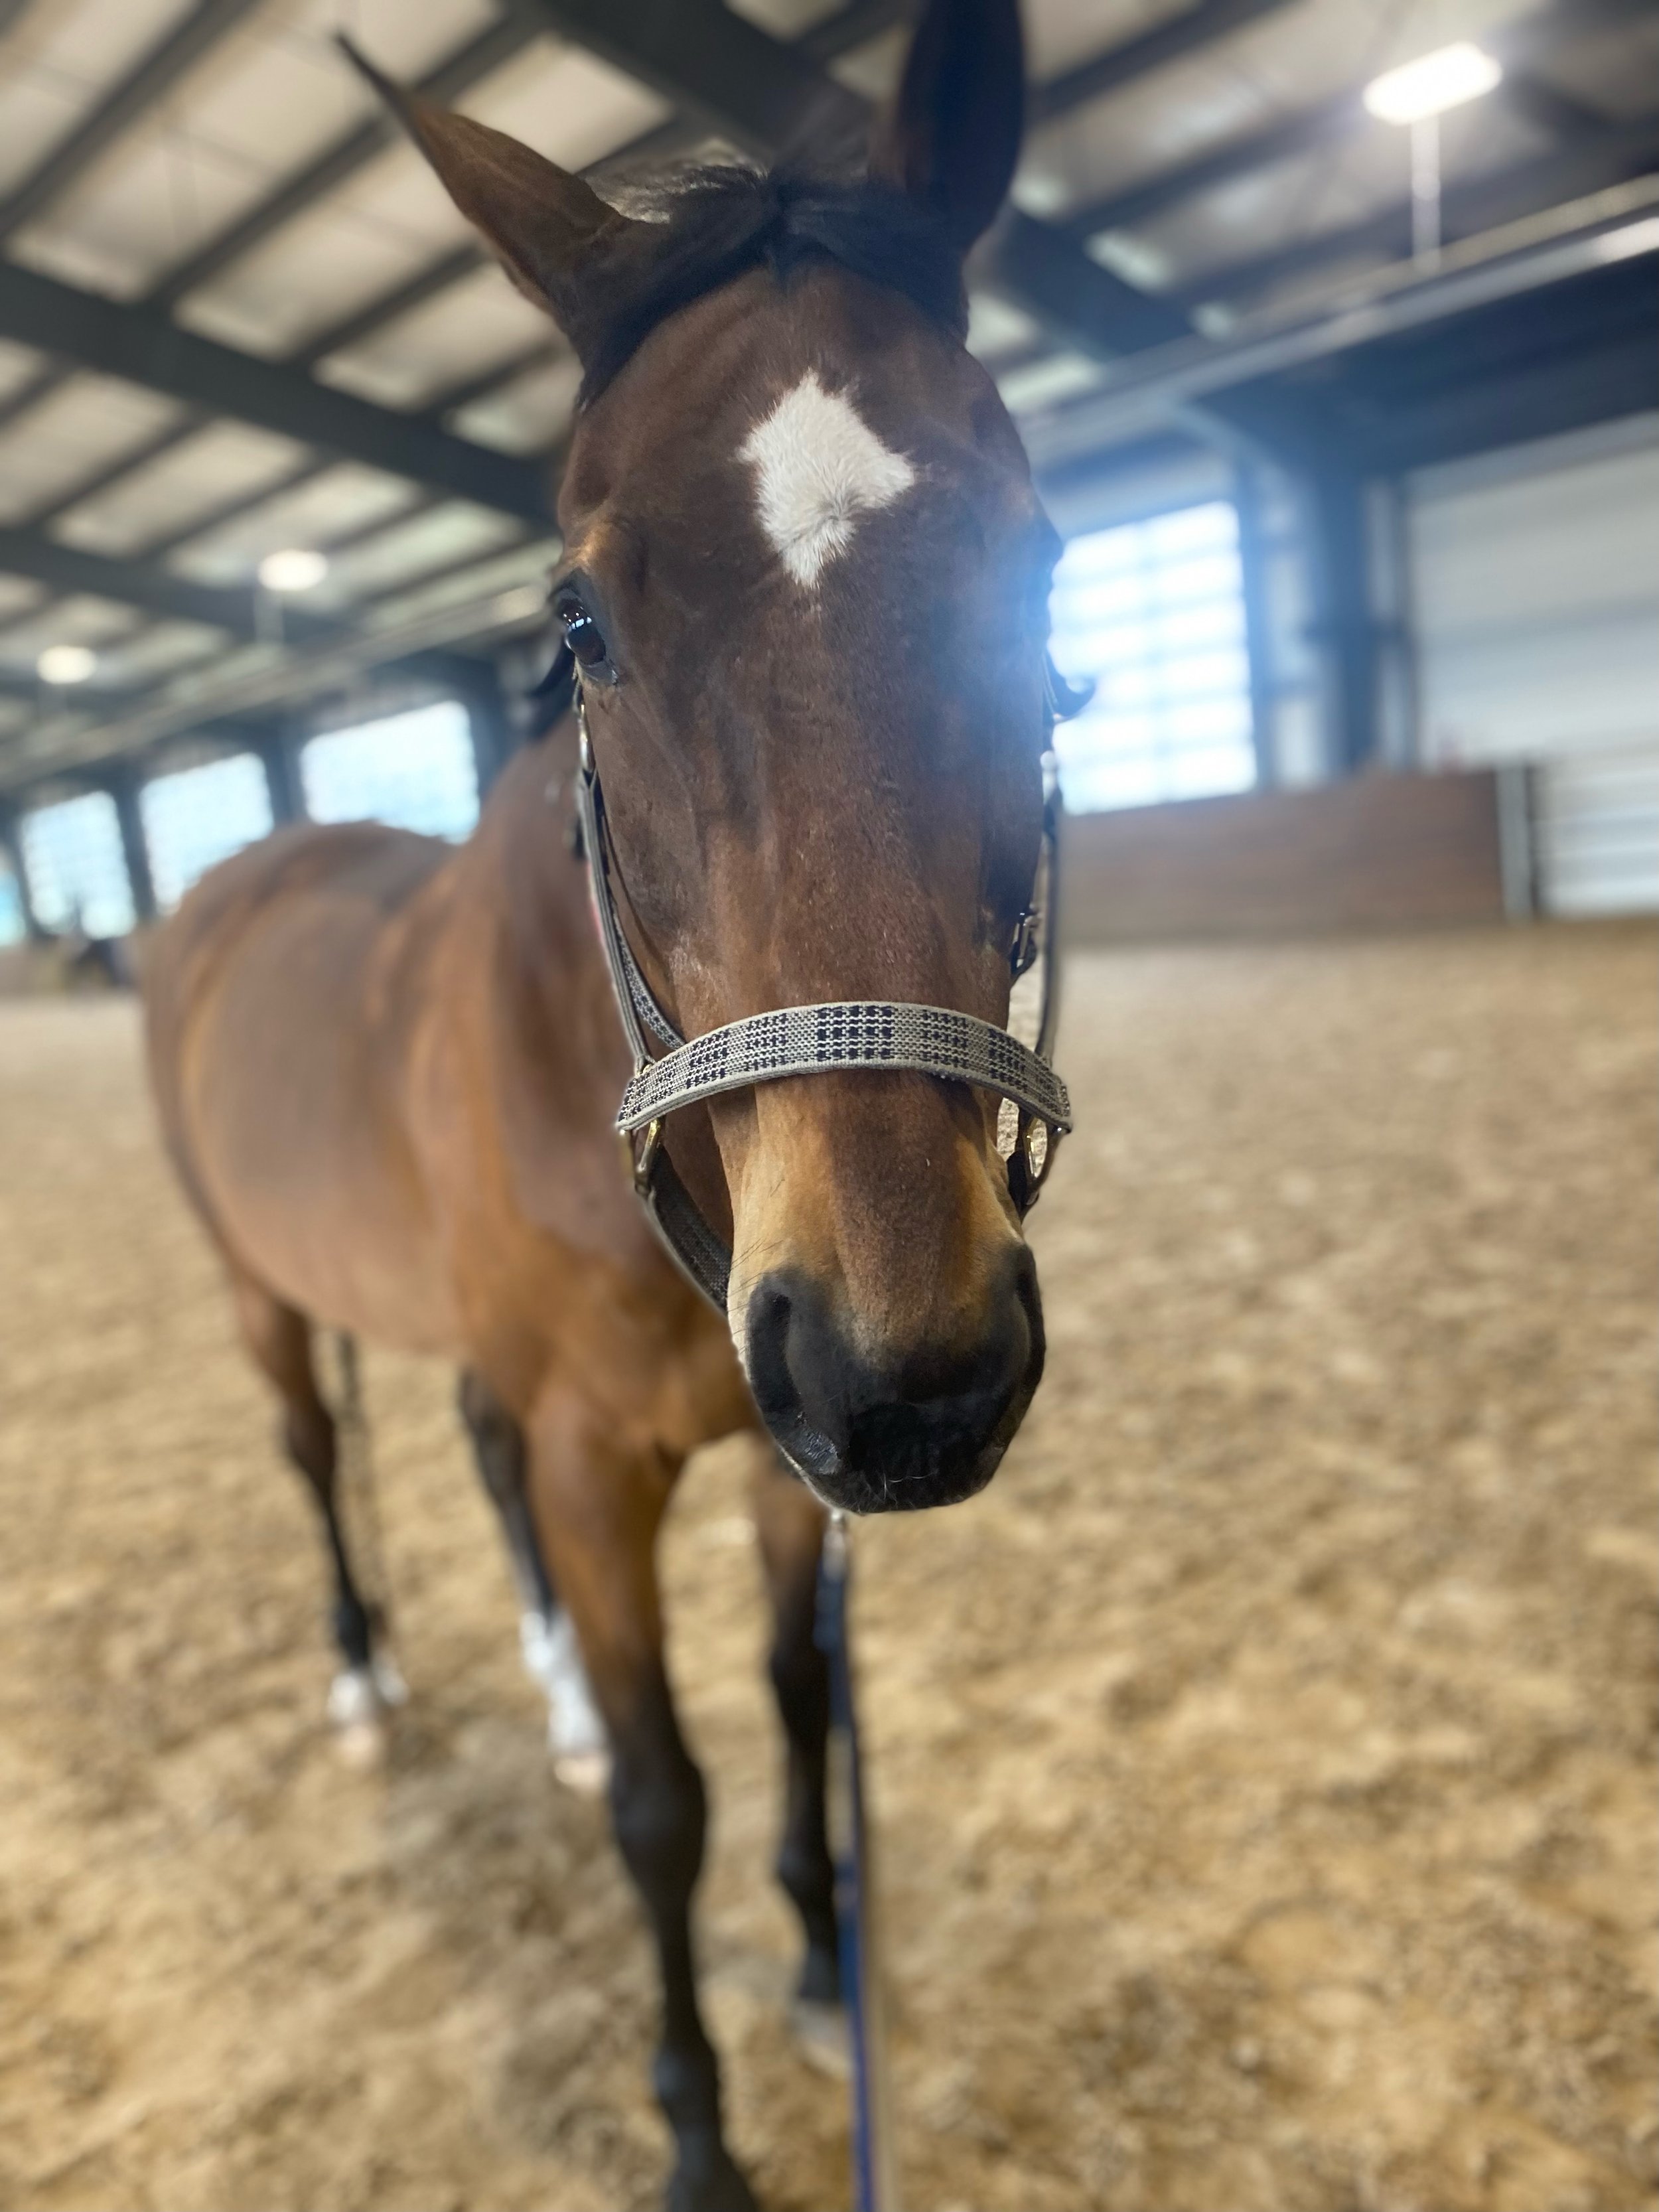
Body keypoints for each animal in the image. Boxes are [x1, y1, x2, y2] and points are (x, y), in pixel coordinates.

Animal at [142, 3, 1066, 2203]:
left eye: (1041, 570)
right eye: (579, 626)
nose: (907, 1373)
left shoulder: (775, 1453)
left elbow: (795, 1701)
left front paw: (822, 1964)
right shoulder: (603, 1459)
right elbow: (667, 1798)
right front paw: (697, 2136)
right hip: (263, 1297)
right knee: (318, 1453)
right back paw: (369, 1674)